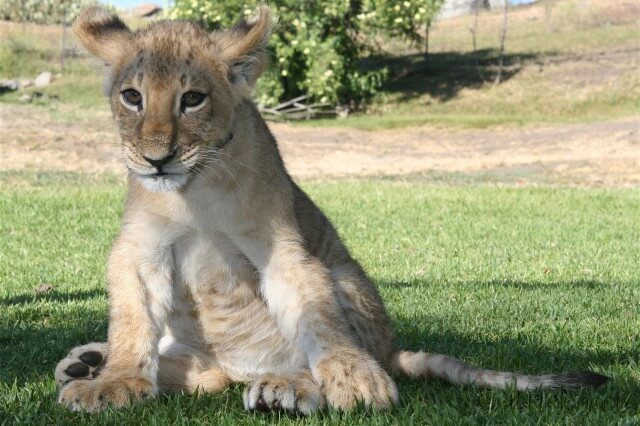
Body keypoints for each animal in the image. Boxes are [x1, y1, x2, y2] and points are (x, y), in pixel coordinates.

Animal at [55, 6, 607, 414]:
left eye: (192, 99)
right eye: (132, 97)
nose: (157, 159)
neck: (195, 189)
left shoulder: (283, 250)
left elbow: (315, 314)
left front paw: (354, 380)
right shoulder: (141, 249)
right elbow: (133, 321)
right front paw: (114, 382)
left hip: (345, 278)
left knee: (310, 349)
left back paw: (289, 388)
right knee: (209, 375)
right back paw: (87, 362)